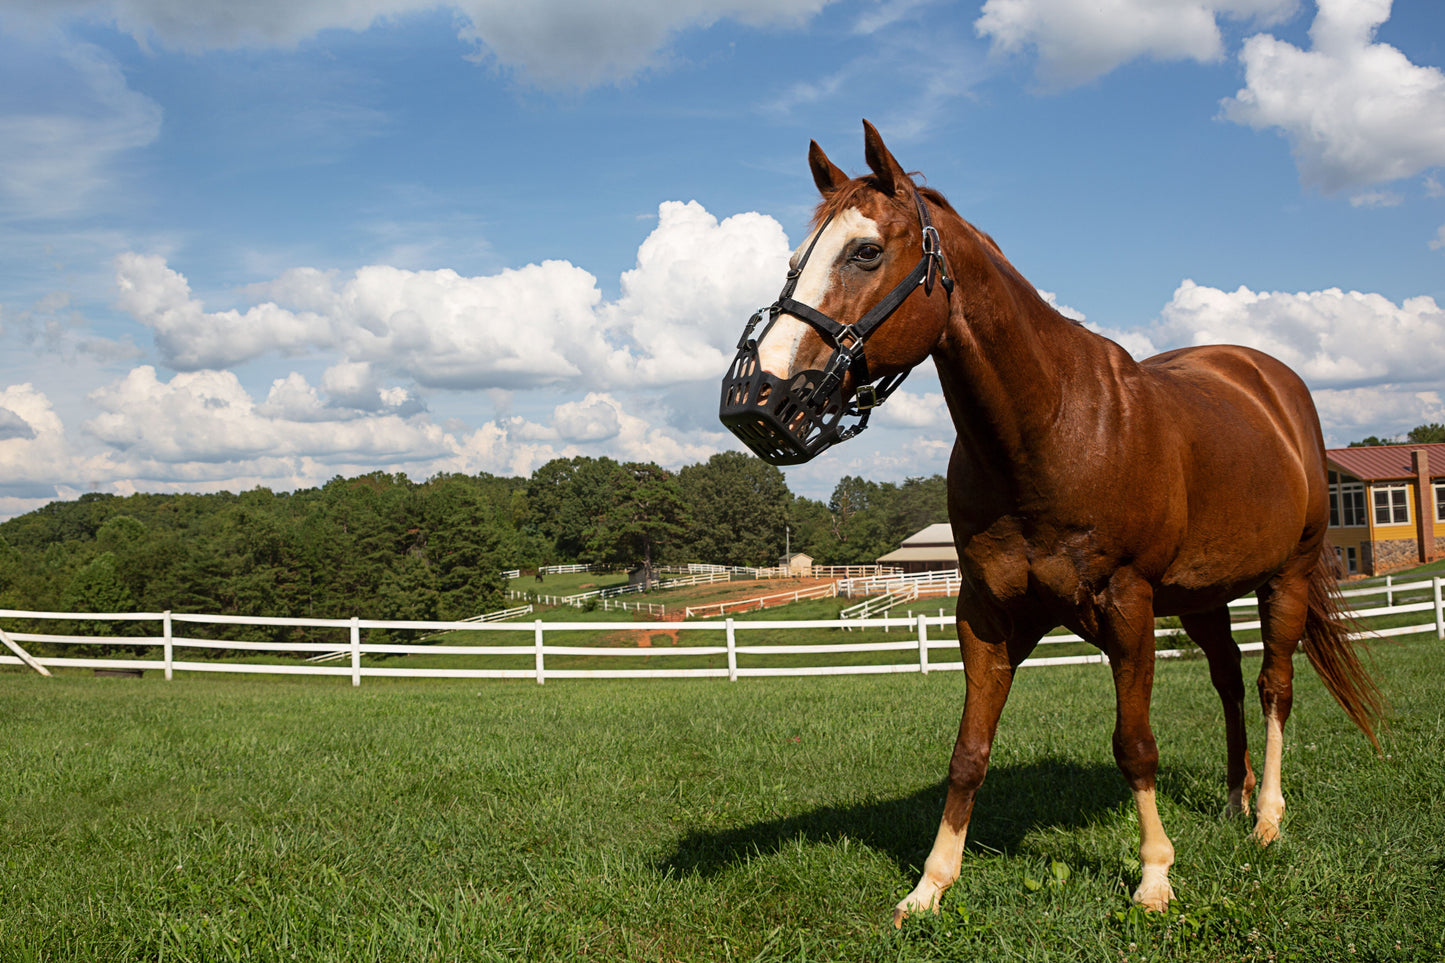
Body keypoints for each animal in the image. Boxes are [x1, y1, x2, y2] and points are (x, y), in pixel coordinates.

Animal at [716, 122, 1381, 925]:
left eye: (865, 252)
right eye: (794, 262)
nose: (757, 399)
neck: (1050, 429)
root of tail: (1272, 383)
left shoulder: (1126, 606)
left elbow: (1135, 744)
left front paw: (1154, 875)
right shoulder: (987, 615)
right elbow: (968, 753)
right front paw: (931, 883)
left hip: (1285, 578)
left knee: (1272, 685)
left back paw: (1267, 820)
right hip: (1201, 598)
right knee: (1226, 679)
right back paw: (1232, 800)